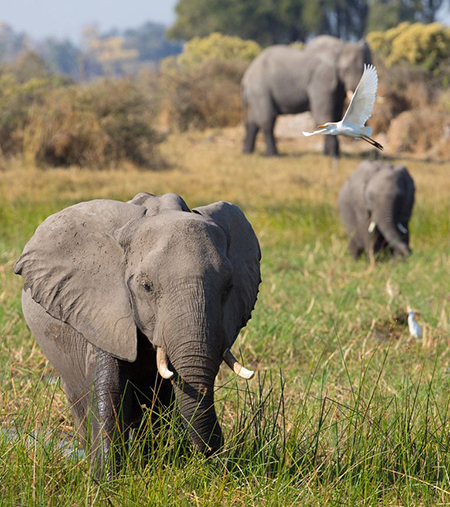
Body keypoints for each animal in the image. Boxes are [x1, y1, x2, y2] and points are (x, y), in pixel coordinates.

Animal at [14, 191, 260, 476]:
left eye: (229, 286)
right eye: (147, 286)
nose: (217, 457)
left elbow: (161, 398)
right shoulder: (102, 309)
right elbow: (110, 390)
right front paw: (107, 480)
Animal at [241, 35, 370, 157]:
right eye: (347, 69)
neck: (338, 46)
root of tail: (245, 78)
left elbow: (336, 113)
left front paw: (329, 153)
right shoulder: (321, 78)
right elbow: (324, 114)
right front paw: (332, 154)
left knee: (252, 121)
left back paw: (247, 152)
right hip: (259, 89)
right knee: (267, 120)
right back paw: (272, 154)